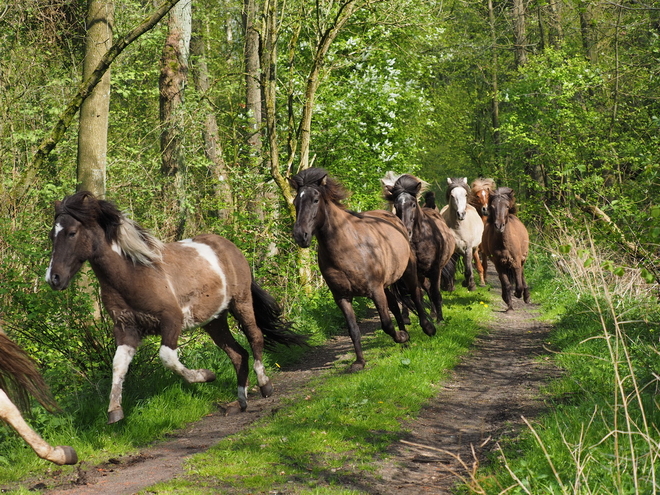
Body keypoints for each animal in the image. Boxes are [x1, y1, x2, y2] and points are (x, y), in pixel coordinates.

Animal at [46, 192, 306, 424]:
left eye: (72, 232)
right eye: (52, 235)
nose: (53, 278)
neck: (133, 274)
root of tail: (228, 246)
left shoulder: (171, 320)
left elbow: (167, 357)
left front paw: (207, 375)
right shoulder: (126, 329)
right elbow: (118, 365)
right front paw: (114, 412)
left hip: (240, 302)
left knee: (255, 337)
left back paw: (265, 385)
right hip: (214, 320)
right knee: (238, 353)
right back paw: (241, 400)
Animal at [288, 168, 434, 372]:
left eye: (315, 200)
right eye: (296, 202)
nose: (300, 235)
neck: (348, 247)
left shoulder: (375, 290)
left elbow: (386, 324)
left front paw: (402, 336)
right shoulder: (342, 297)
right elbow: (353, 329)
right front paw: (359, 362)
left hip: (407, 272)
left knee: (416, 296)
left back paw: (428, 329)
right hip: (386, 286)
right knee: (395, 306)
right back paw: (405, 341)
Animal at [378, 172, 456, 324]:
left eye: (413, 204)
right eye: (396, 205)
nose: (406, 231)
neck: (421, 240)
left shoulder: (435, 270)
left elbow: (435, 293)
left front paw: (440, 320)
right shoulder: (413, 272)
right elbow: (415, 294)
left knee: (431, 290)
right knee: (426, 288)